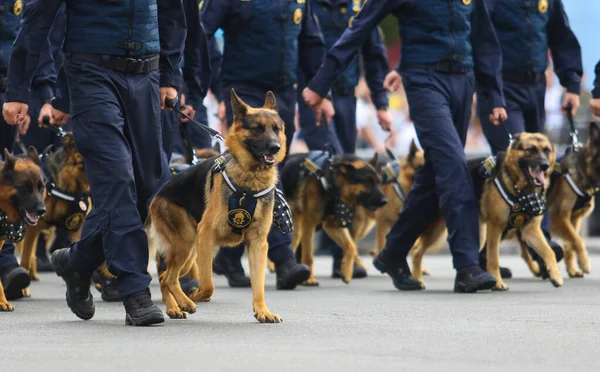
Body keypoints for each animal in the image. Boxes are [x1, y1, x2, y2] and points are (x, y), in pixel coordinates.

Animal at [146, 90, 284, 322]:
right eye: (258, 128)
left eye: (277, 128)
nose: (275, 147)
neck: (249, 180)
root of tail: (157, 195)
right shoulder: (206, 236)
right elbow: (208, 285)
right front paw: (197, 294)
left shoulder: (258, 243)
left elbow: (258, 285)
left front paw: (262, 311)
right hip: (187, 245)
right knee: (169, 278)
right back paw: (184, 302)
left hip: (189, 252)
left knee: (165, 277)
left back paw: (174, 308)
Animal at [280, 151, 384, 284]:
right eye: (367, 181)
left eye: (378, 181)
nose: (384, 201)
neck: (329, 182)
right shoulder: (308, 224)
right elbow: (308, 255)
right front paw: (310, 279)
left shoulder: (333, 226)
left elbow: (351, 246)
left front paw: (346, 271)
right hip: (296, 228)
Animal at [548, 123, 600, 278]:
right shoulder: (558, 217)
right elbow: (577, 240)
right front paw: (584, 263)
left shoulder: (573, 219)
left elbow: (570, 244)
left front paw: (572, 269)